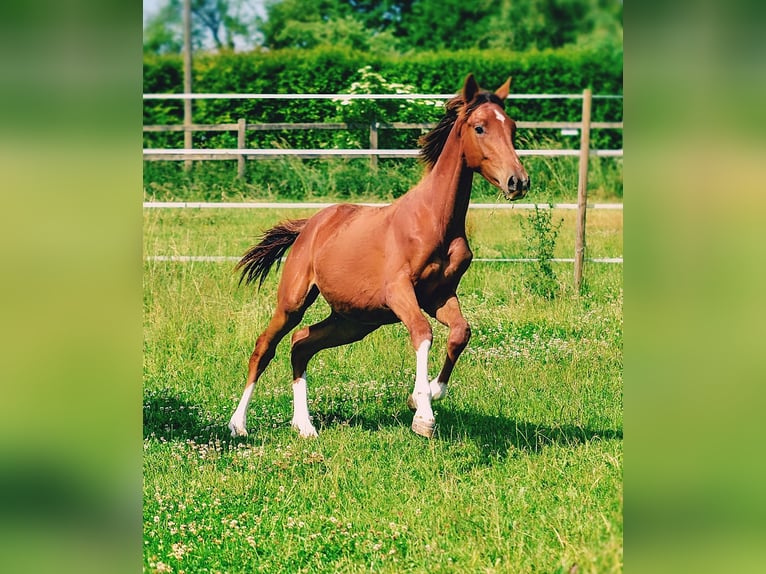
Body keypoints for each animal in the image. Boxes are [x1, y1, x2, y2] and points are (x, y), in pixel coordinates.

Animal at [228, 74, 529, 439]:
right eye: (480, 127)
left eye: (512, 127)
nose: (518, 181)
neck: (434, 220)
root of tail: (310, 225)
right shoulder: (399, 291)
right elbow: (423, 332)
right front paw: (423, 415)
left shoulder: (441, 295)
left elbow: (461, 333)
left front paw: (429, 394)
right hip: (293, 302)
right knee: (265, 347)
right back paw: (238, 424)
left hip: (354, 321)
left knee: (302, 344)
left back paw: (304, 426)